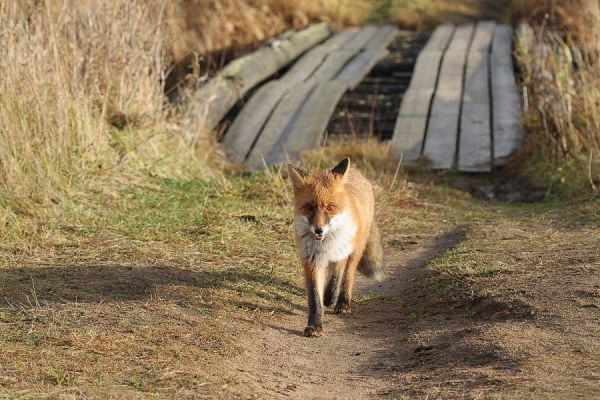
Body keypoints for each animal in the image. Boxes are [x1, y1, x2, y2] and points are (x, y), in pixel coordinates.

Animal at [288, 158, 384, 336]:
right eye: (309, 207)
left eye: (330, 207)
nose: (318, 230)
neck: (324, 244)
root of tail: (357, 173)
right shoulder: (311, 261)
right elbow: (314, 297)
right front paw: (315, 325)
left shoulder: (342, 252)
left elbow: (337, 279)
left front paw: (332, 300)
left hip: (354, 250)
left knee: (347, 276)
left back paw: (342, 302)